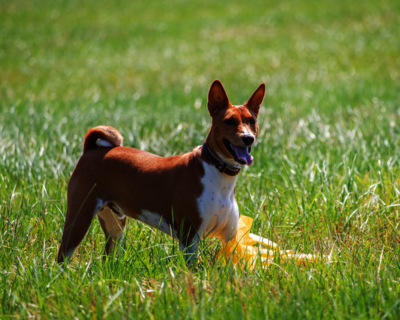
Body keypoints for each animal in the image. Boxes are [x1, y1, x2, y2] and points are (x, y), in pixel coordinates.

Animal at [55, 80, 262, 264]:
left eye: (251, 121)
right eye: (229, 121)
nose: (248, 138)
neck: (218, 174)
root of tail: (90, 150)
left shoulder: (229, 238)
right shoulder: (189, 238)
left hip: (115, 225)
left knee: (108, 256)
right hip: (79, 218)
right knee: (63, 256)